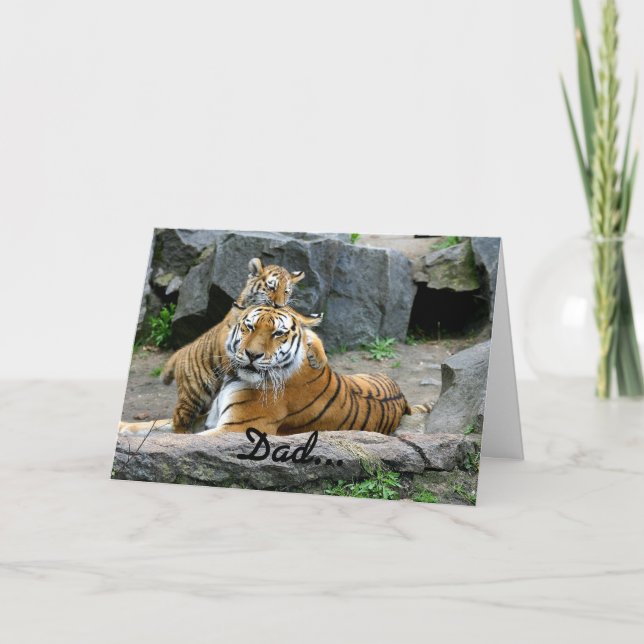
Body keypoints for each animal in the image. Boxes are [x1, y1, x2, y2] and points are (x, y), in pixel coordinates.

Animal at [119, 258, 327, 435]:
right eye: (271, 287)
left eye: (287, 291)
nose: (279, 304)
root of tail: (180, 351)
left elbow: (310, 335)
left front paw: (318, 358)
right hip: (194, 393)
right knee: (180, 419)